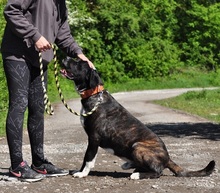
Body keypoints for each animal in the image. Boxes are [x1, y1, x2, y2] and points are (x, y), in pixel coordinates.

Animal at [60, 57, 215, 179]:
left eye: (79, 63)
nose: (66, 57)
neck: (95, 95)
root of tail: (167, 157)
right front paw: (79, 171)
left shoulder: (94, 138)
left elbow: (88, 158)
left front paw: (82, 173)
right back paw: (130, 165)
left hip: (137, 146)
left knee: (157, 172)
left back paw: (137, 175)